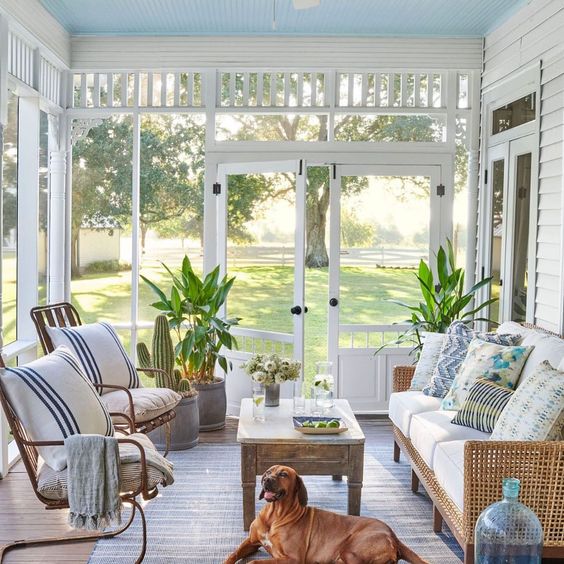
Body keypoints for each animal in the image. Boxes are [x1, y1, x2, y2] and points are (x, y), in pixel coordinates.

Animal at [225, 464, 428, 560]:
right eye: (267, 472)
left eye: (283, 474)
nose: (266, 480)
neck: (275, 515)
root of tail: (393, 535)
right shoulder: (251, 542)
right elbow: (233, 555)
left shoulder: (291, 558)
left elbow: (254, 562)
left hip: (351, 551)